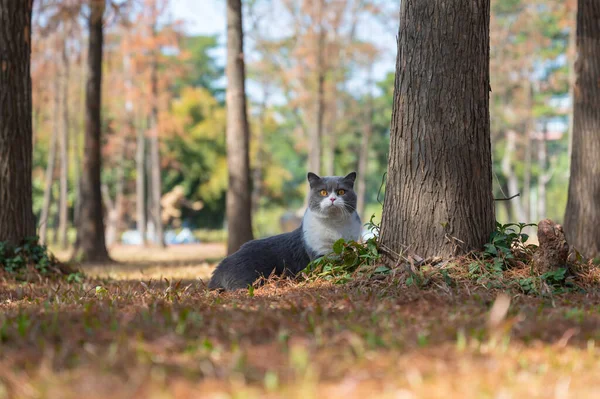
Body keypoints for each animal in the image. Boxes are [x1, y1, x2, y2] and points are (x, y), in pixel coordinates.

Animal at [209, 171, 360, 290]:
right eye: (323, 192)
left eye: (341, 191)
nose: (333, 198)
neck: (334, 226)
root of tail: (220, 268)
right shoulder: (318, 253)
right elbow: (329, 267)